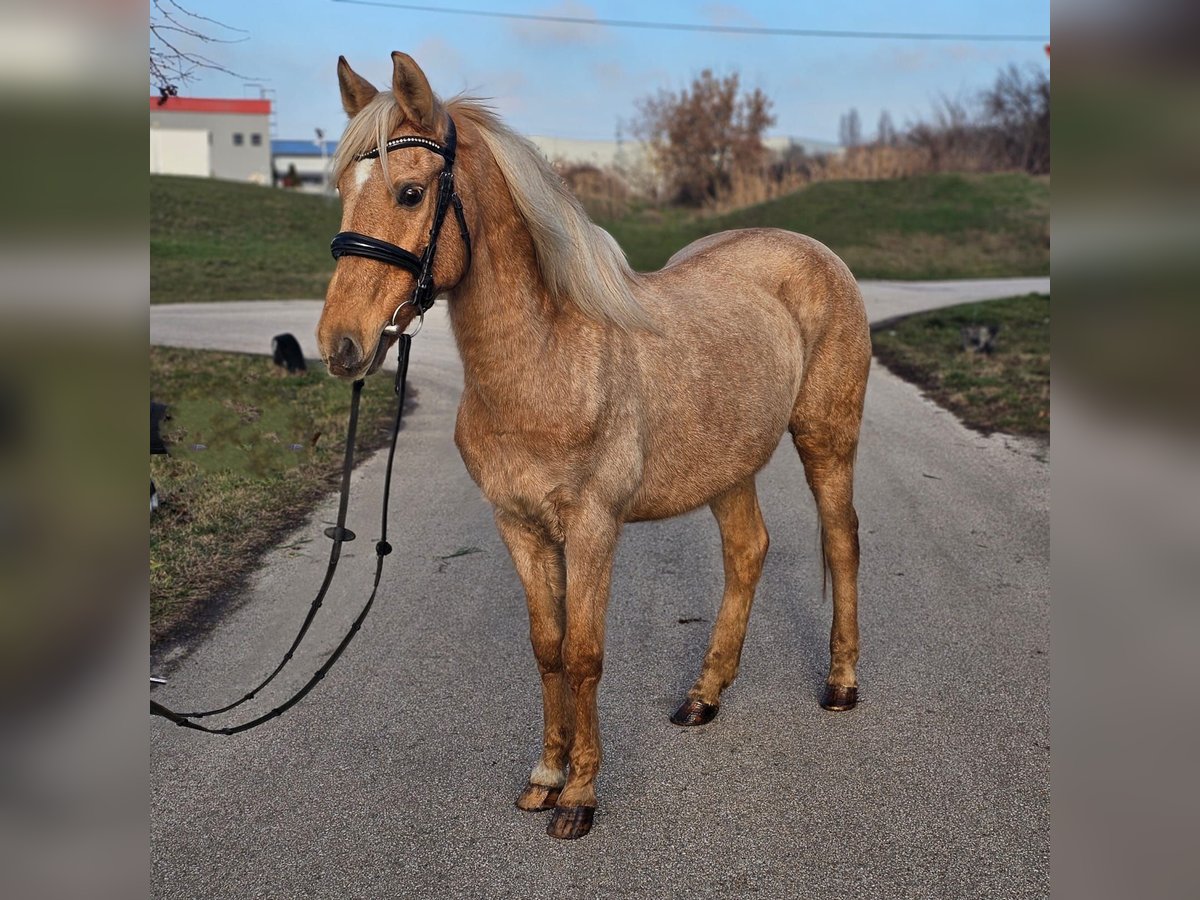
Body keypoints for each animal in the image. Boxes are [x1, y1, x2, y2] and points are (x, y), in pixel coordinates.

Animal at [318, 52, 871, 841]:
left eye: (410, 191)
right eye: (341, 190)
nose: (340, 345)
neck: (549, 361)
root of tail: (813, 252)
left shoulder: (592, 528)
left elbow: (583, 654)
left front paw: (579, 795)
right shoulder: (519, 526)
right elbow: (546, 648)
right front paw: (545, 777)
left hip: (827, 437)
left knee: (841, 542)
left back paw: (841, 683)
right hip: (727, 465)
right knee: (747, 552)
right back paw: (703, 696)